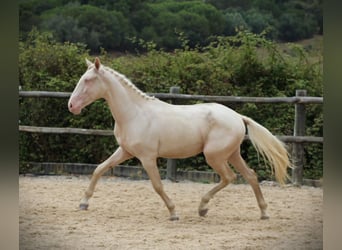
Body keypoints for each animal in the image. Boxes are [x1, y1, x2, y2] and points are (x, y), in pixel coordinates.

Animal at [68, 57, 290, 221]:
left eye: (88, 80)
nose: (71, 106)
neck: (134, 113)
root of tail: (237, 117)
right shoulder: (125, 151)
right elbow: (99, 169)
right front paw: (83, 203)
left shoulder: (147, 157)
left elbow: (157, 185)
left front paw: (173, 213)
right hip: (232, 154)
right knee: (250, 175)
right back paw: (263, 212)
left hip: (214, 156)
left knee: (230, 177)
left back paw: (203, 208)